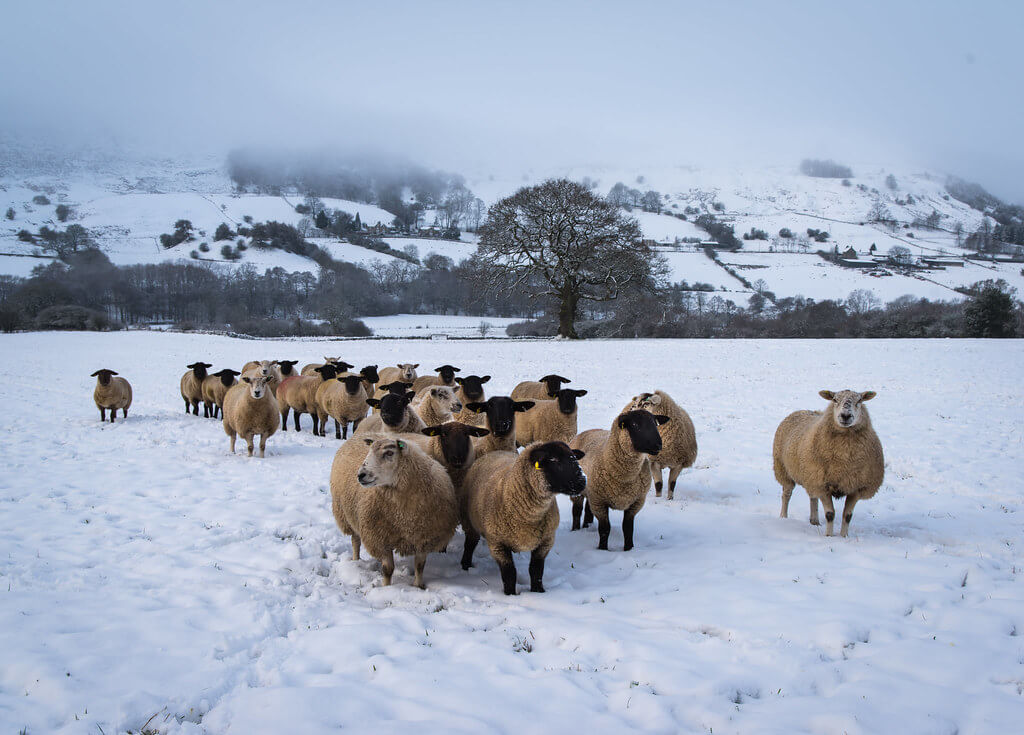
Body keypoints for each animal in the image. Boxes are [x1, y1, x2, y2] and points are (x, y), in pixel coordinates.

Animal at [329, 434, 458, 589]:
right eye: (369, 451)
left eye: (389, 453)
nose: (361, 475)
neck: (405, 517)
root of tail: (359, 435)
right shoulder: (379, 538)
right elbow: (388, 569)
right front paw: (386, 588)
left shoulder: (424, 538)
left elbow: (420, 566)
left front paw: (418, 586)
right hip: (347, 516)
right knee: (355, 541)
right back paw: (356, 560)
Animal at [462, 440, 589, 597]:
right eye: (553, 459)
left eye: (574, 456)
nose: (582, 481)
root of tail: (495, 452)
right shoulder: (497, 544)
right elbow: (509, 573)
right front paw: (510, 595)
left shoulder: (545, 541)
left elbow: (536, 570)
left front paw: (538, 591)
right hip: (469, 522)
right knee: (470, 544)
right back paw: (466, 566)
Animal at [569, 411, 671, 548]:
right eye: (635, 424)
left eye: (655, 423)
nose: (658, 445)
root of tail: (587, 431)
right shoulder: (600, 502)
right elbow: (605, 529)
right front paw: (602, 549)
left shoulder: (636, 502)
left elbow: (628, 528)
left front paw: (629, 548)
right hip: (578, 491)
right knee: (577, 511)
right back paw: (575, 530)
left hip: (591, 493)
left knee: (587, 510)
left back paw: (587, 527)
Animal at [770, 388, 884, 536]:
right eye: (835, 399)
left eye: (859, 401)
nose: (845, 416)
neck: (844, 461)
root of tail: (801, 410)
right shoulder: (823, 485)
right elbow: (830, 514)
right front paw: (829, 536)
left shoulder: (856, 487)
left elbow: (847, 516)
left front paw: (844, 536)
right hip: (784, 470)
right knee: (786, 495)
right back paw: (783, 516)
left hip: (811, 476)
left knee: (813, 497)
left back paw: (814, 521)